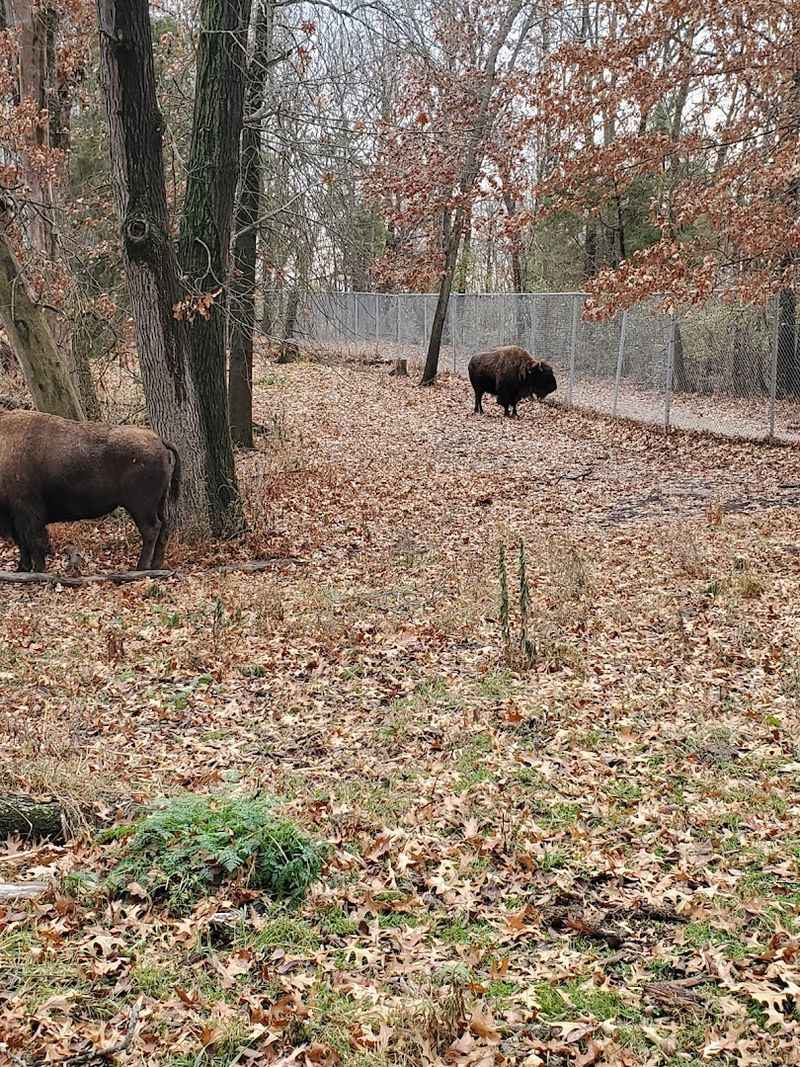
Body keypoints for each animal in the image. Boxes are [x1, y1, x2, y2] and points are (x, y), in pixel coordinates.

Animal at [0, 411, 181, 573]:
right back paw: (156, 565)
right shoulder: (14, 517)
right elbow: (22, 543)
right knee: (164, 527)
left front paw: (38, 569)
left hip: (141, 507)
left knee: (151, 530)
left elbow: (33, 541)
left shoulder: (27, 513)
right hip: (158, 504)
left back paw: (141, 567)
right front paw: (22, 568)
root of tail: (159, 440)